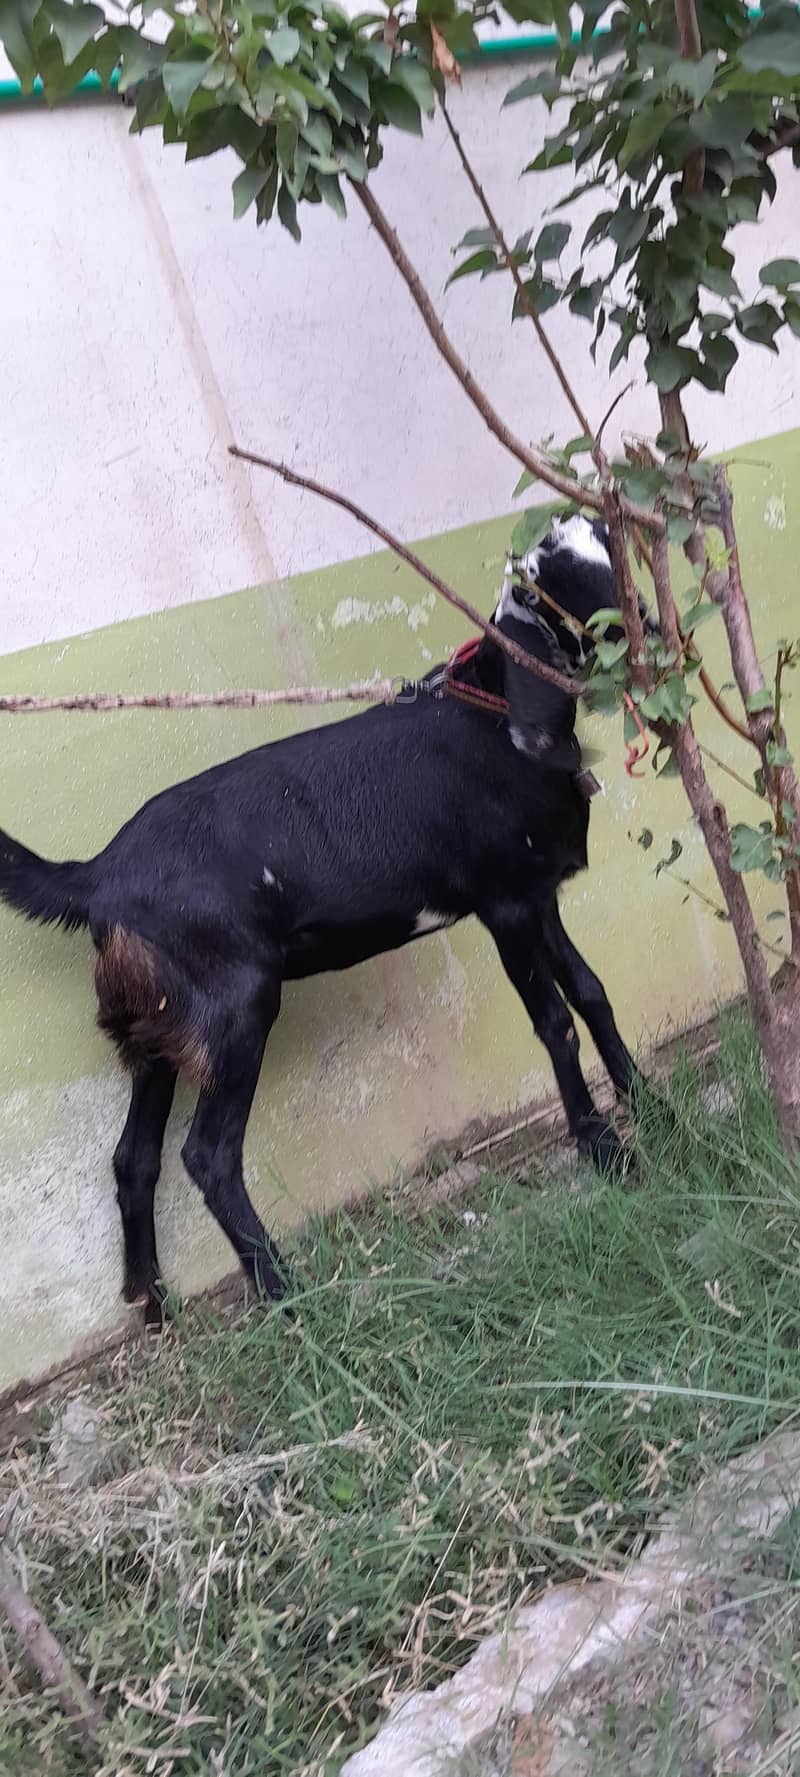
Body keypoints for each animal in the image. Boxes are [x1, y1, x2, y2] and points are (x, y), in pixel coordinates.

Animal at [0, 515, 649, 1324]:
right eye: (567, 581)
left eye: (613, 547)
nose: (651, 629)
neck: (496, 714)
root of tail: (97, 875)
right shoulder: (504, 904)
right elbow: (556, 1022)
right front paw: (603, 1149)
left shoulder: (540, 898)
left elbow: (592, 991)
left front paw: (648, 1103)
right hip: (235, 1006)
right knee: (207, 1154)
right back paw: (284, 1295)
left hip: (158, 1023)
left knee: (133, 1156)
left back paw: (155, 1304)